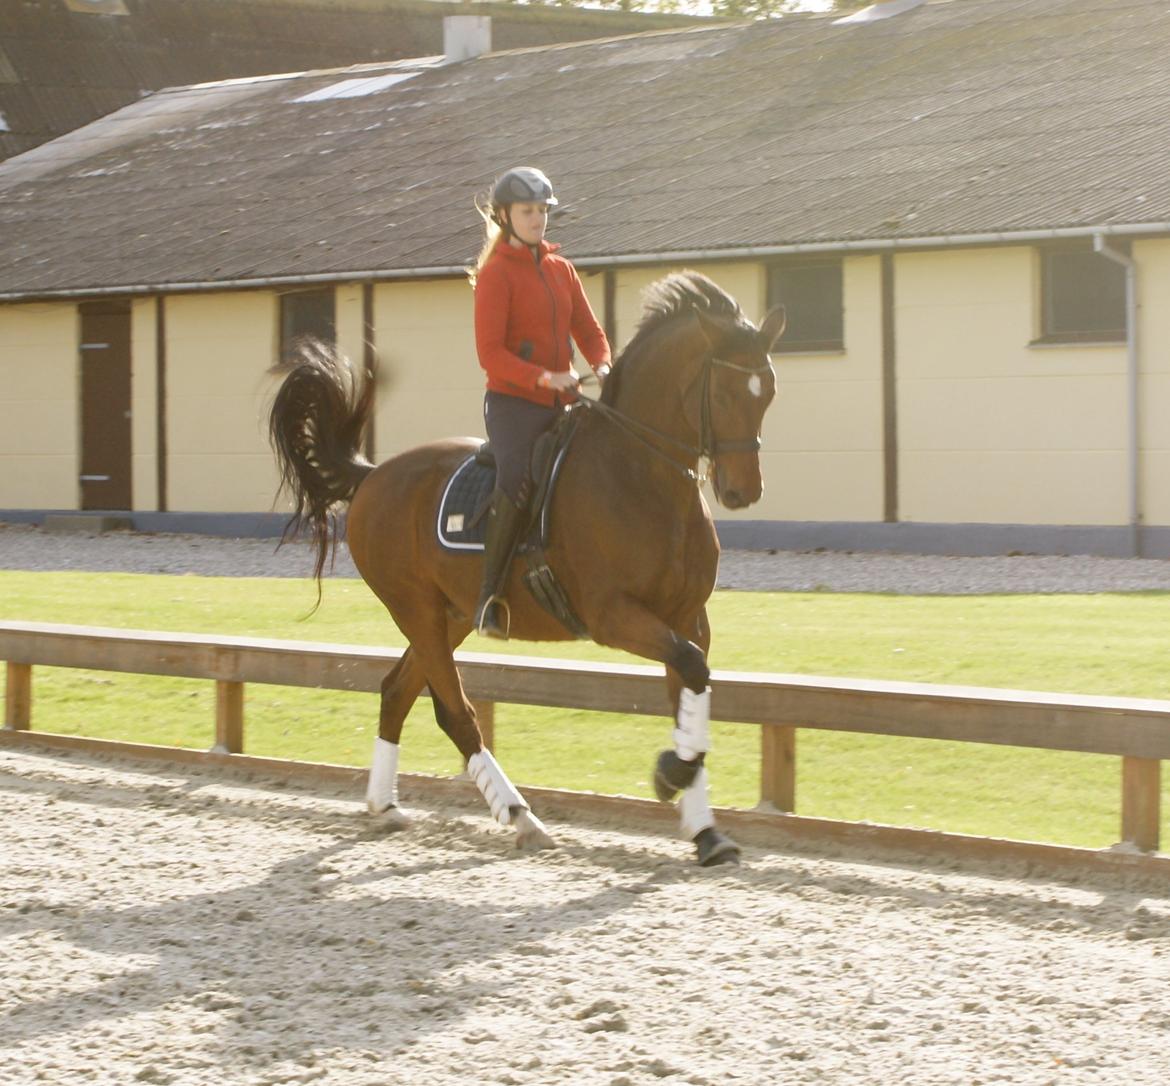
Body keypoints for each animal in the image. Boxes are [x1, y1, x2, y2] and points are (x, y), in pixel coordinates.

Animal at [270, 271, 786, 865]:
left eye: (769, 391)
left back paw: (386, 805)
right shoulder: (614, 616)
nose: (743, 491)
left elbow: (692, 688)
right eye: (723, 392)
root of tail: (372, 475)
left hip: (449, 617)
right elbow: (693, 672)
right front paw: (669, 775)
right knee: (457, 712)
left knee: (398, 691)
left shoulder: (687, 618)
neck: (644, 474)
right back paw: (521, 817)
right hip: (416, 610)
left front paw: (704, 829)